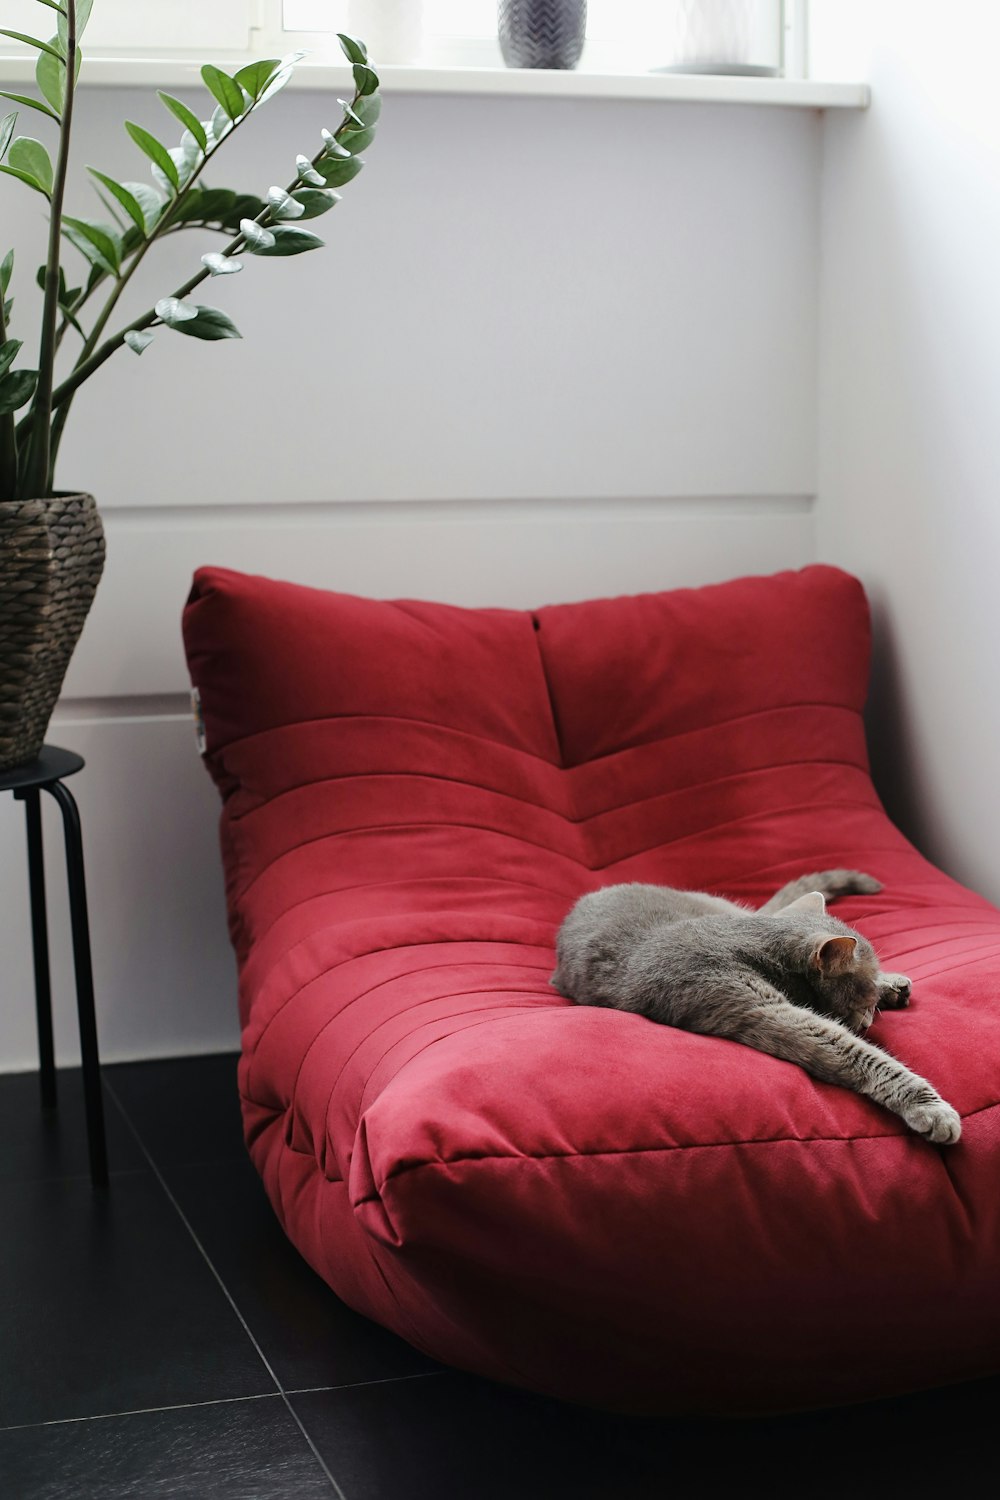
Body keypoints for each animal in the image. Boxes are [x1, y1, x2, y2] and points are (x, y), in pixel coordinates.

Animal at [554, 870, 959, 1146]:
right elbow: (854, 1050)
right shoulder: (756, 1006)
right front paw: (931, 1107)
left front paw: (888, 985)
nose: (869, 1016)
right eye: (864, 998)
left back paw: (897, 984)